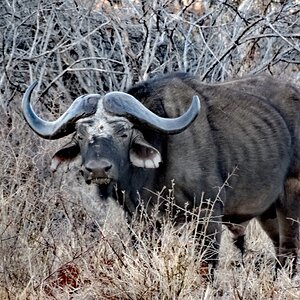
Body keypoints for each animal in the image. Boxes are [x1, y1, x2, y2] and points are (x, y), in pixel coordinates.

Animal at [22, 72, 298, 276]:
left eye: (124, 132)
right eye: (80, 135)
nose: (98, 169)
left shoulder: (208, 212)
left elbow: (206, 263)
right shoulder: (139, 219)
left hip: (290, 197)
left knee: (290, 249)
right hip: (267, 212)